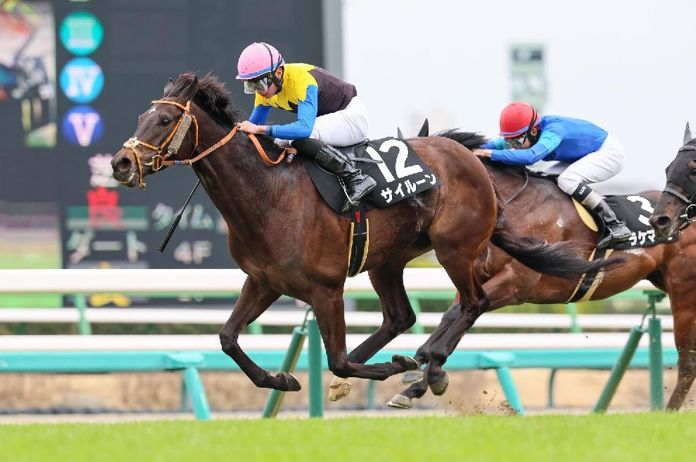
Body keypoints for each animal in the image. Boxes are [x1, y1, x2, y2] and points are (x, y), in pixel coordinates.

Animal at [110, 73, 611, 393]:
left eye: (162, 121)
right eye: (139, 118)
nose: (120, 163)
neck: (268, 193)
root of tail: (473, 160)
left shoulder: (325, 288)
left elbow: (337, 359)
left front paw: (392, 367)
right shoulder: (265, 280)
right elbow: (228, 338)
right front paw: (279, 378)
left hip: (454, 248)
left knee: (474, 302)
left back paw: (428, 366)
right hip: (387, 260)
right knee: (400, 316)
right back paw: (409, 363)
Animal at [385, 129, 696, 411]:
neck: (511, 205)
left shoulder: (516, 284)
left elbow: (455, 316)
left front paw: (426, 365)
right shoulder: (475, 280)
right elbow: (455, 317)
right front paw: (417, 382)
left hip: (683, 293)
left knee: (688, 360)